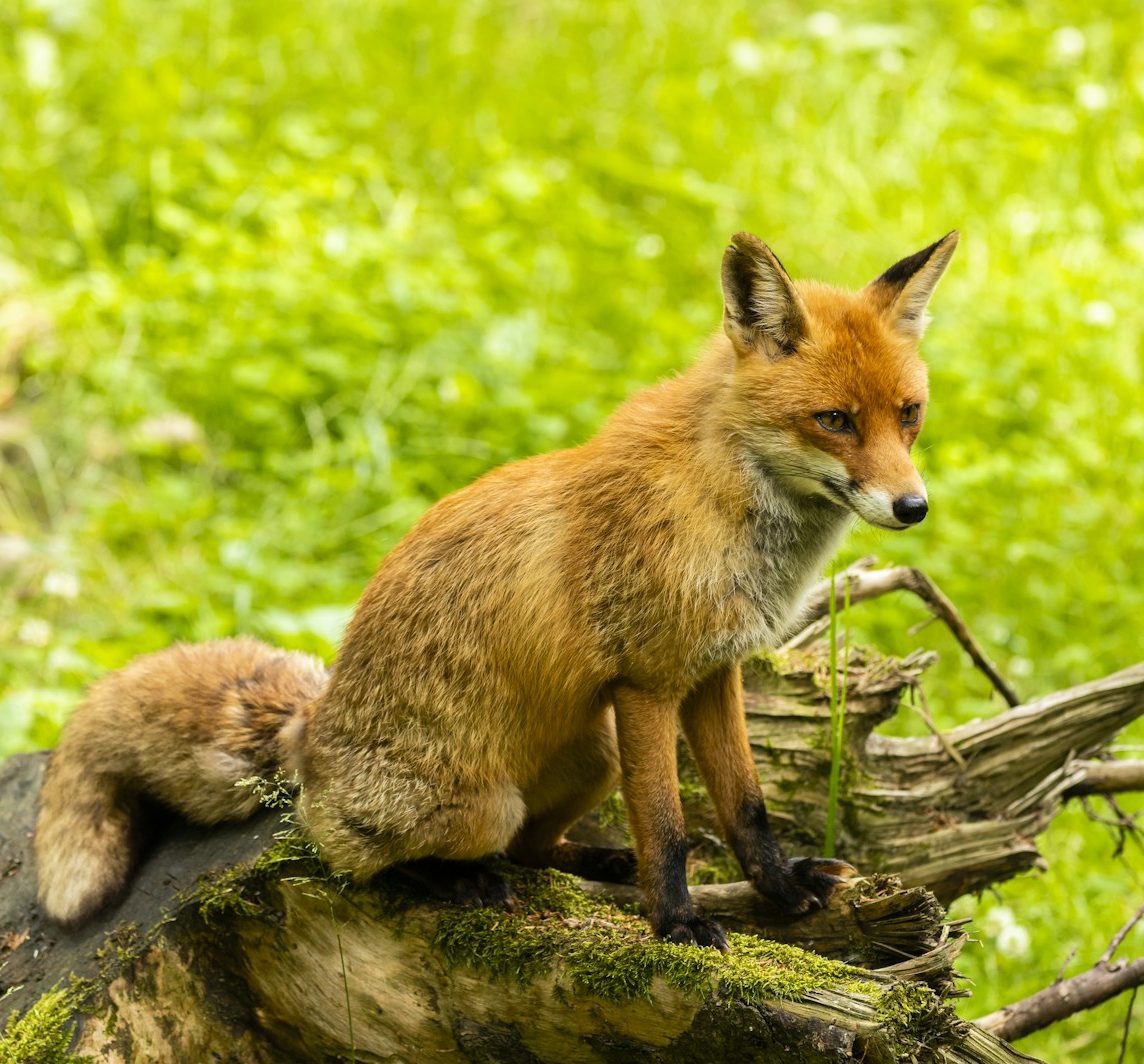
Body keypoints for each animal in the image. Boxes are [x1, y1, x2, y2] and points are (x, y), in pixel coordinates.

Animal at [35, 229, 957, 949]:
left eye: (909, 414)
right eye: (834, 421)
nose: (913, 508)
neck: (727, 500)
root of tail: (310, 728)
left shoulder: (713, 671)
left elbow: (745, 808)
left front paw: (784, 890)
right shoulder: (647, 681)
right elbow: (666, 827)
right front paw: (676, 923)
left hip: (593, 754)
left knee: (529, 849)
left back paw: (592, 861)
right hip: (486, 801)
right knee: (364, 863)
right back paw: (458, 881)